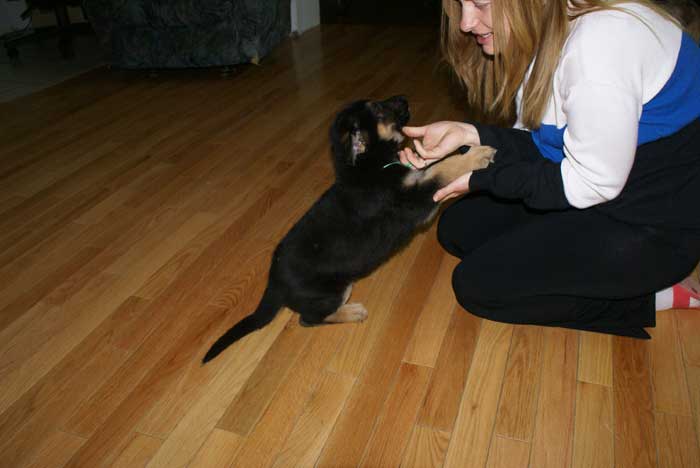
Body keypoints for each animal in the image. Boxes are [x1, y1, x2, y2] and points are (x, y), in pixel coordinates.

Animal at [202, 95, 494, 364]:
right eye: (378, 108)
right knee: (308, 319)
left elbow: (433, 164)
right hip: (334, 289)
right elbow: (443, 169)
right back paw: (352, 312)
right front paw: (476, 154)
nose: (404, 98)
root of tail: (274, 282)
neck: (368, 165)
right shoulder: (415, 200)